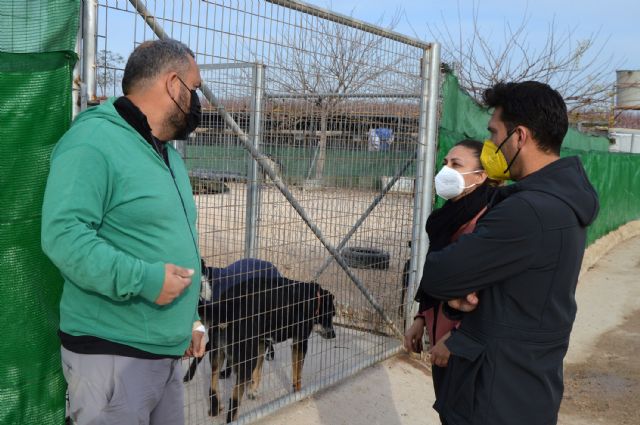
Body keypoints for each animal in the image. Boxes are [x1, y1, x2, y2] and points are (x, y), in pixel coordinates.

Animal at [195, 274, 336, 422]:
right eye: (332, 314)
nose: (334, 335)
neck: (312, 297)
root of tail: (226, 305)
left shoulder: (261, 343)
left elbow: (258, 371)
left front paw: (252, 391)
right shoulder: (300, 342)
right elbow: (297, 374)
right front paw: (298, 394)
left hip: (217, 354)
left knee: (212, 386)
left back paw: (215, 409)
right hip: (246, 359)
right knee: (234, 400)